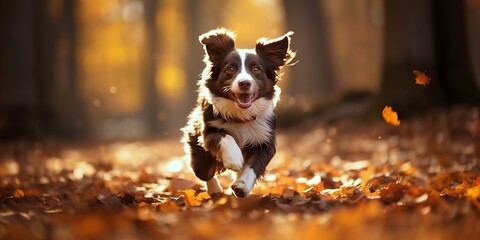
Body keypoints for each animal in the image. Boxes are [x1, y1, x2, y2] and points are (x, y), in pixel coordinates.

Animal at [182, 28, 294, 197]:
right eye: (230, 69)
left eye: (256, 69)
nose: (244, 83)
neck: (241, 115)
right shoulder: (207, 131)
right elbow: (223, 137)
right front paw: (234, 159)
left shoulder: (264, 140)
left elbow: (254, 165)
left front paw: (242, 185)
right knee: (204, 171)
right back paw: (215, 189)